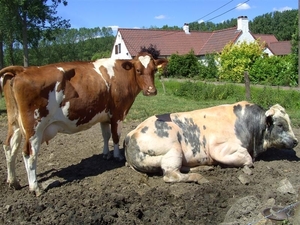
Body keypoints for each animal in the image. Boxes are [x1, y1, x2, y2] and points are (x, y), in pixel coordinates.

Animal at [0, 52, 168, 195]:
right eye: (138, 70)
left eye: (154, 70)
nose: (151, 91)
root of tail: (22, 69)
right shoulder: (118, 113)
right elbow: (115, 136)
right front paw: (117, 156)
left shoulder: (104, 115)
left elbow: (105, 135)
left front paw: (106, 154)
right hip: (34, 128)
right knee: (29, 154)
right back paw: (35, 187)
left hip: (15, 123)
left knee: (9, 147)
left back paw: (13, 181)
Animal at [124, 101, 298, 184]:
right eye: (280, 125)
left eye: (290, 121)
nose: (296, 141)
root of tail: (131, 134)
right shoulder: (219, 148)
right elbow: (248, 160)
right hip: (172, 149)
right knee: (170, 175)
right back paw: (199, 177)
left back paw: (205, 167)